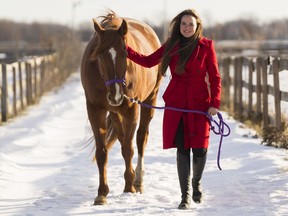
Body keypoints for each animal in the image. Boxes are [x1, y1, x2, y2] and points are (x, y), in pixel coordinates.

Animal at [80, 10, 163, 206]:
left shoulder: (132, 109)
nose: (116, 94)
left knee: (140, 138)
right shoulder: (94, 109)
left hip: (150, 100)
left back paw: (138, 181)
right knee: (121, 136)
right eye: (100, 54)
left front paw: (129, 187)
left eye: (126, 54)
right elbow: (102, 152)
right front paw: (102, 193)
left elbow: (128, 149)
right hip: (115, 112)